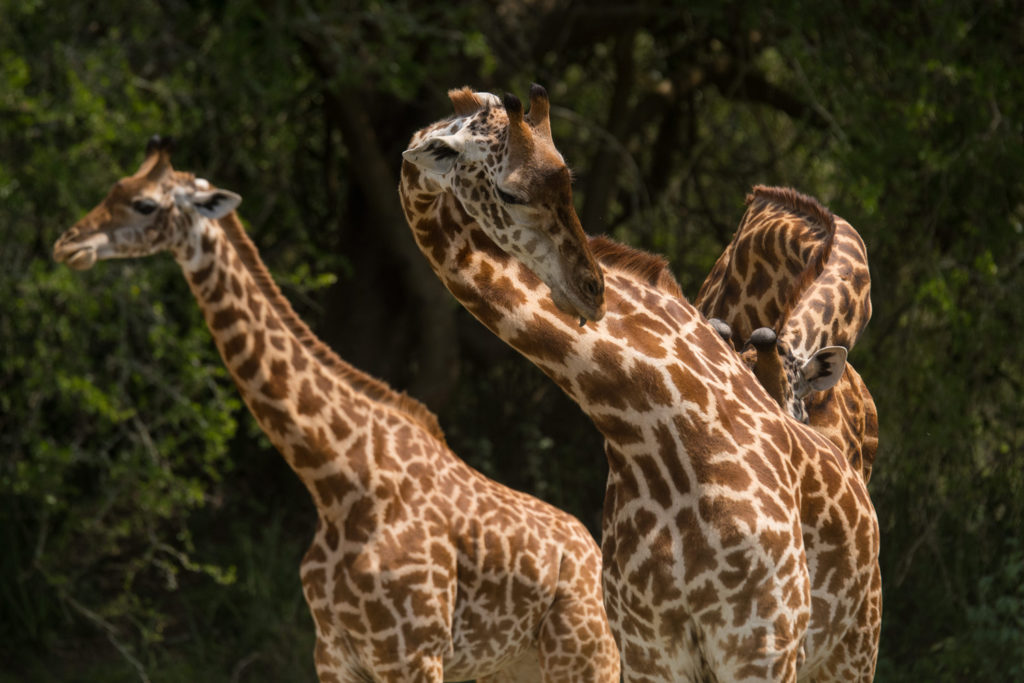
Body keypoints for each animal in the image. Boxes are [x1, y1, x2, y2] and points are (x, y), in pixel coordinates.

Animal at [52, 137, 620, 683]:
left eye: (144, 204)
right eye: (114, 187)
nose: (68, 243)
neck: (335, 478)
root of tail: (594, 556)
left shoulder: (411, 654)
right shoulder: (334, 653)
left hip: (583, 657)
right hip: (507, 668)